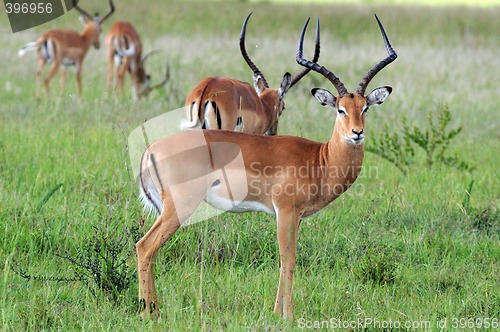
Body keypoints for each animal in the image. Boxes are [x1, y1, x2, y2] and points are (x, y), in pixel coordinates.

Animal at [135, 14, 396, 320]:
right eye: (340, 109)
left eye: (365, 108)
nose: (357, 133)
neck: (320, 159)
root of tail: (151, 149)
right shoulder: (285, 211)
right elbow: (289, 259)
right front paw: (288, 315)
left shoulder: (295, 216)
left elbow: (285, 260)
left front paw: (277, 311)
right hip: (178, 207)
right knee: (145, 247)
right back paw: (147, 313)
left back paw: (154, 309)